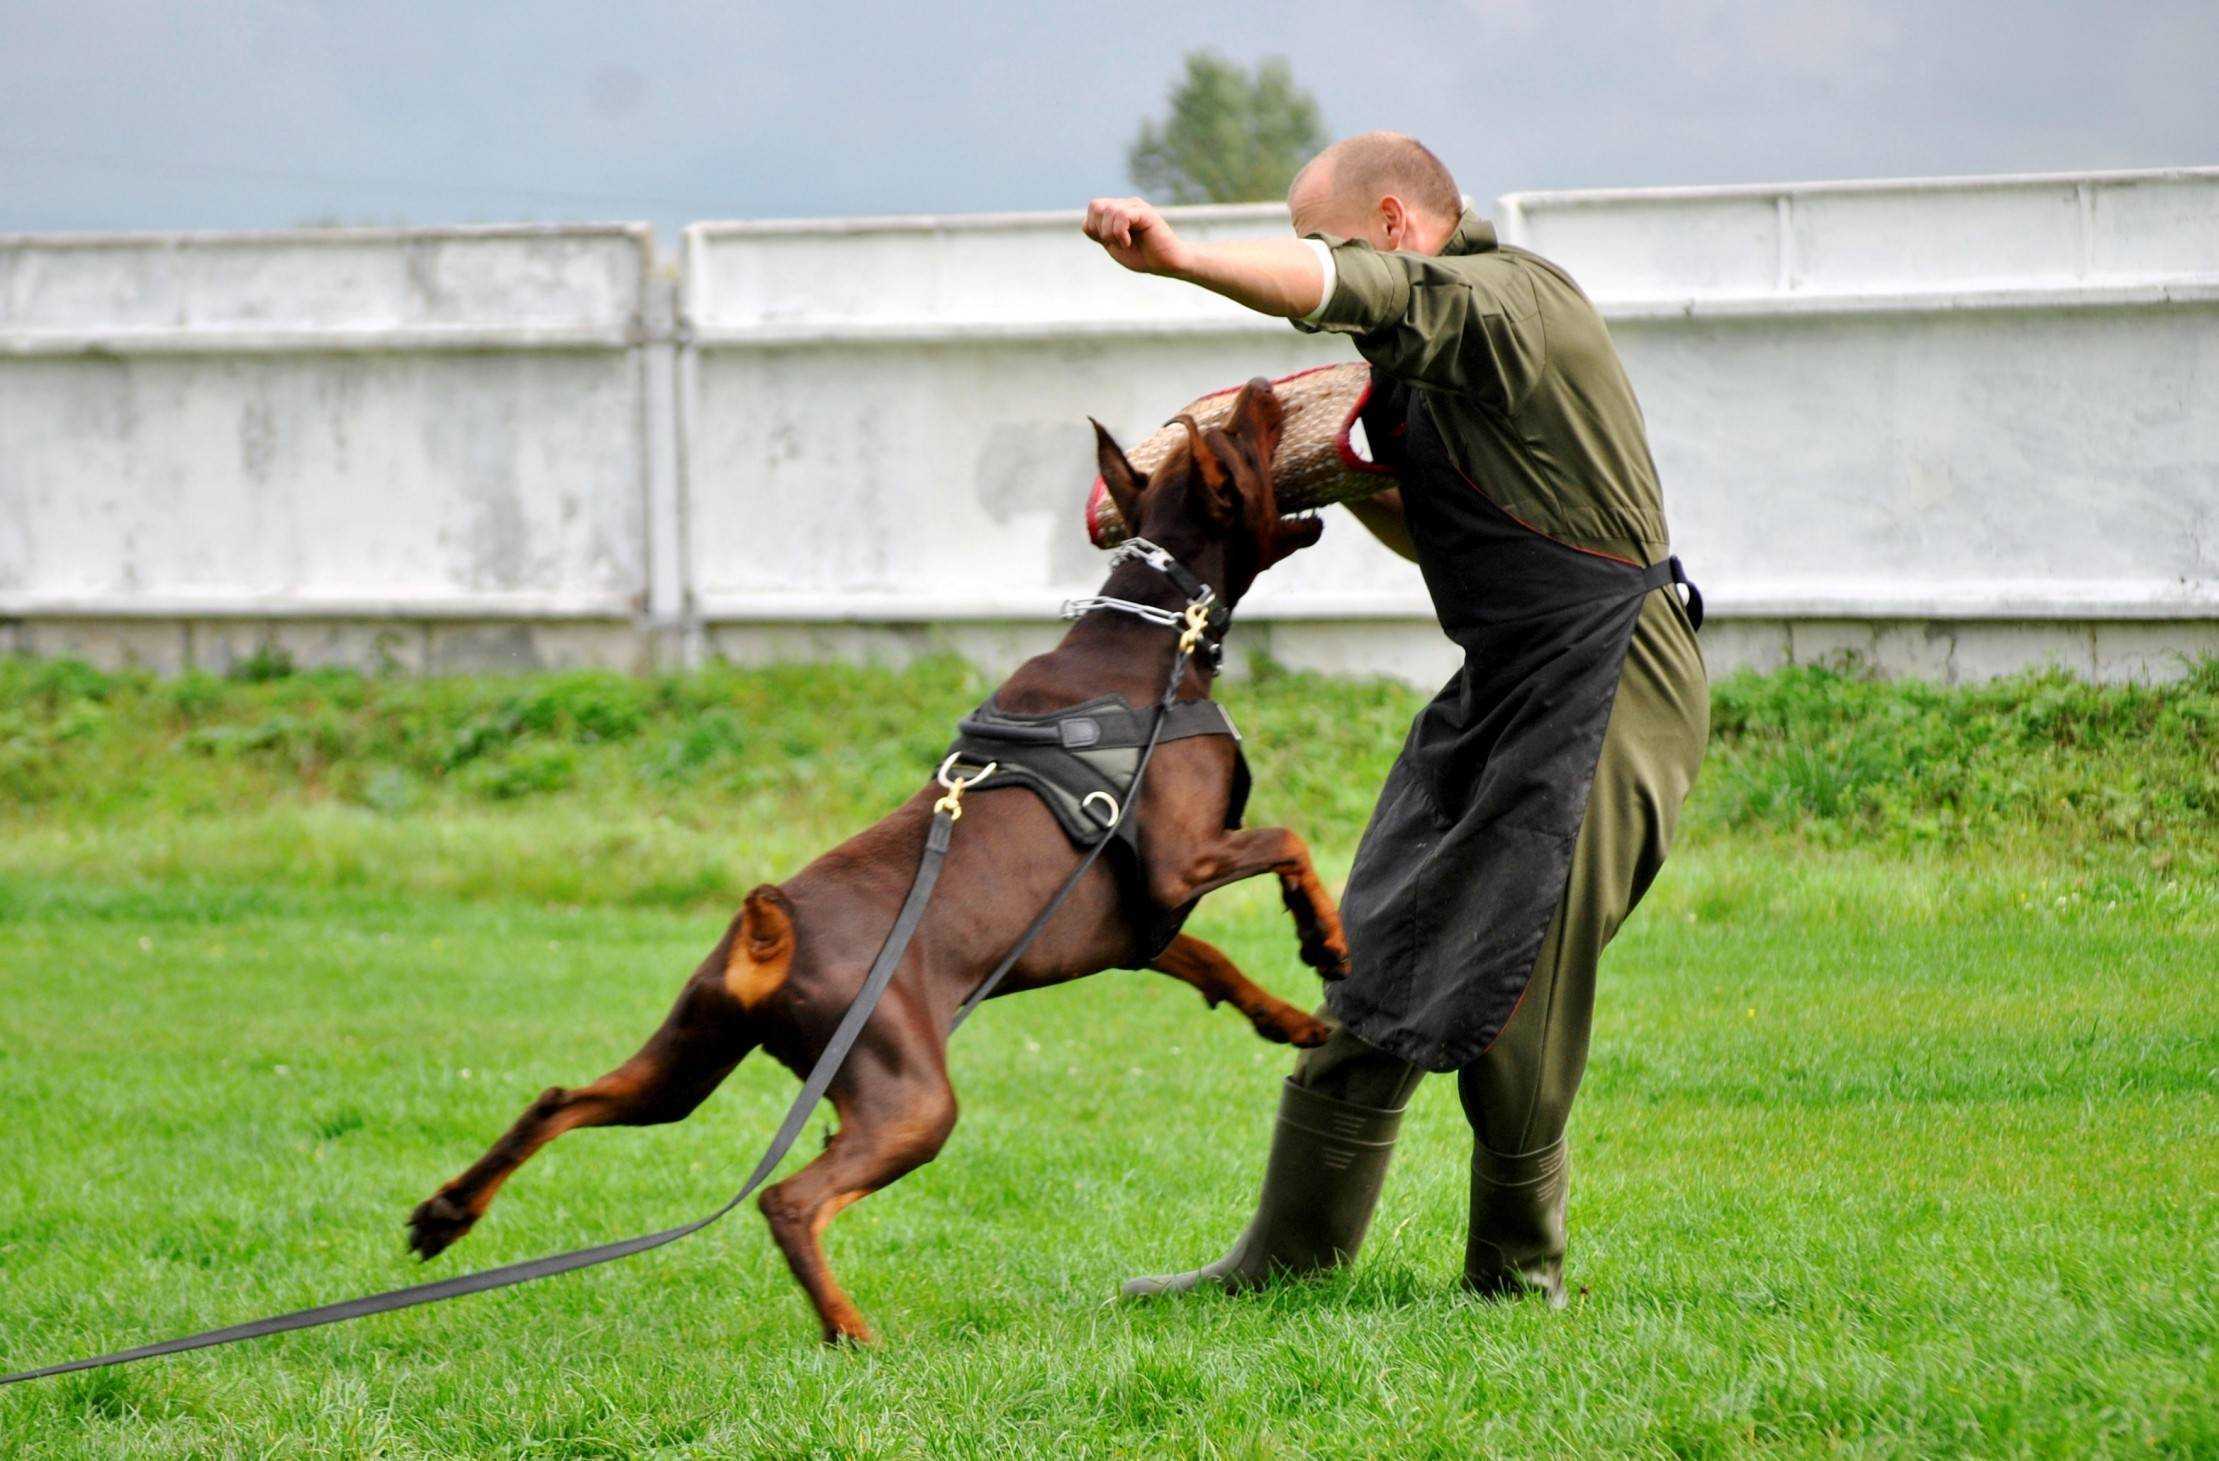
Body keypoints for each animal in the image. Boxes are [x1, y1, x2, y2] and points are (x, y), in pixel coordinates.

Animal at [410, 377, 1349, 1341]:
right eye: (1242, 440)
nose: (1260, 386)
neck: (1154, 637)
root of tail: (767, 945)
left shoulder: (1132, 926)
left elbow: (1213, 960)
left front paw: (1294, 1020)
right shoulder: (1177, 862)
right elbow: (1289, 841)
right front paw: (1325, 940)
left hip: (688, 1059)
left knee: (560, 1101)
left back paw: (446, 1214)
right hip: (910, 1096)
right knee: (789, 1199)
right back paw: (849, 1330)